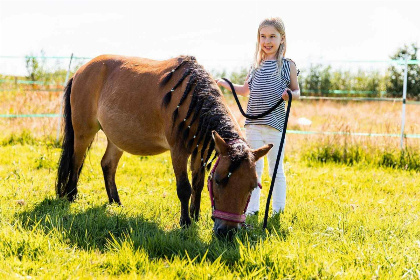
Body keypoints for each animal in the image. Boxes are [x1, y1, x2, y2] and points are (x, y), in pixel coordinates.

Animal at [55, 54, 272, 236]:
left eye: (253, 186)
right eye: (219, 181)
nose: (227, 232)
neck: (194, 99)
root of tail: (80, 71)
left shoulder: (199, 152)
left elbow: (198, 186)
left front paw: (195, 217)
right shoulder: (178, 151)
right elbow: (184, 188)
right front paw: (185, 222)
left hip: (116, 138)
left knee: (107, 165)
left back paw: (115, 203)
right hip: (84, 132)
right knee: (76, 161)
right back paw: (72, 196)